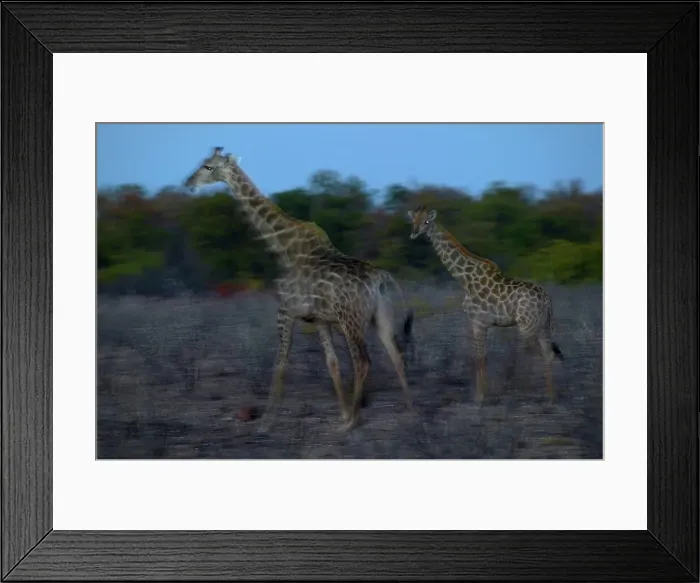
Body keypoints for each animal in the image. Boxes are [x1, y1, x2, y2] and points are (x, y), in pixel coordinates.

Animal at [183, 147, 415, 431]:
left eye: (207, 166)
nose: (188, 183)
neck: (282, 247)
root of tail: (381, 278)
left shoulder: (285, 312)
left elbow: (280, 363)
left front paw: (267, 421)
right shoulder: (319, 320)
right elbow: (331, 363)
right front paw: (343, 414)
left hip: (351, 320)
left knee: (363, 361)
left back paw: (355, 422)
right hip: (380, 317)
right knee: (396, 354)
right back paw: (412, 412)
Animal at [407, 205, 564, 404]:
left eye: (427, 221)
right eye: (413, 220)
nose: (414, 232)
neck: (465, 279)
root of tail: (547, 300)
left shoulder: (478, 322)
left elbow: (479, 357)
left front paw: (479, 396)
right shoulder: (482, 324)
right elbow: (483, 356)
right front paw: (483, 393)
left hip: (527, 326)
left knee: (540, 354)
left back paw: (539, 394)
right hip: (544, 326)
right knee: (549, 353)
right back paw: (551, 396)